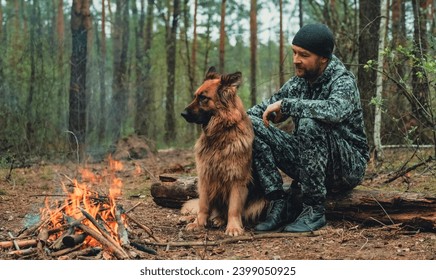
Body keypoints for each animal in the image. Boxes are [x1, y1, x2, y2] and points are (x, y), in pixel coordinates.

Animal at [180, 66, 266, 235]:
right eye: (195, 96)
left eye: (203, 98)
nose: (183, 114)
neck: (220, 134)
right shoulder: (205, 176)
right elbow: (203, 205)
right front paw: (198, 223)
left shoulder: (237, 179)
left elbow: (233, 208)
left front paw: (233, 227)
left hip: (261, 201)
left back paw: (220, 220)